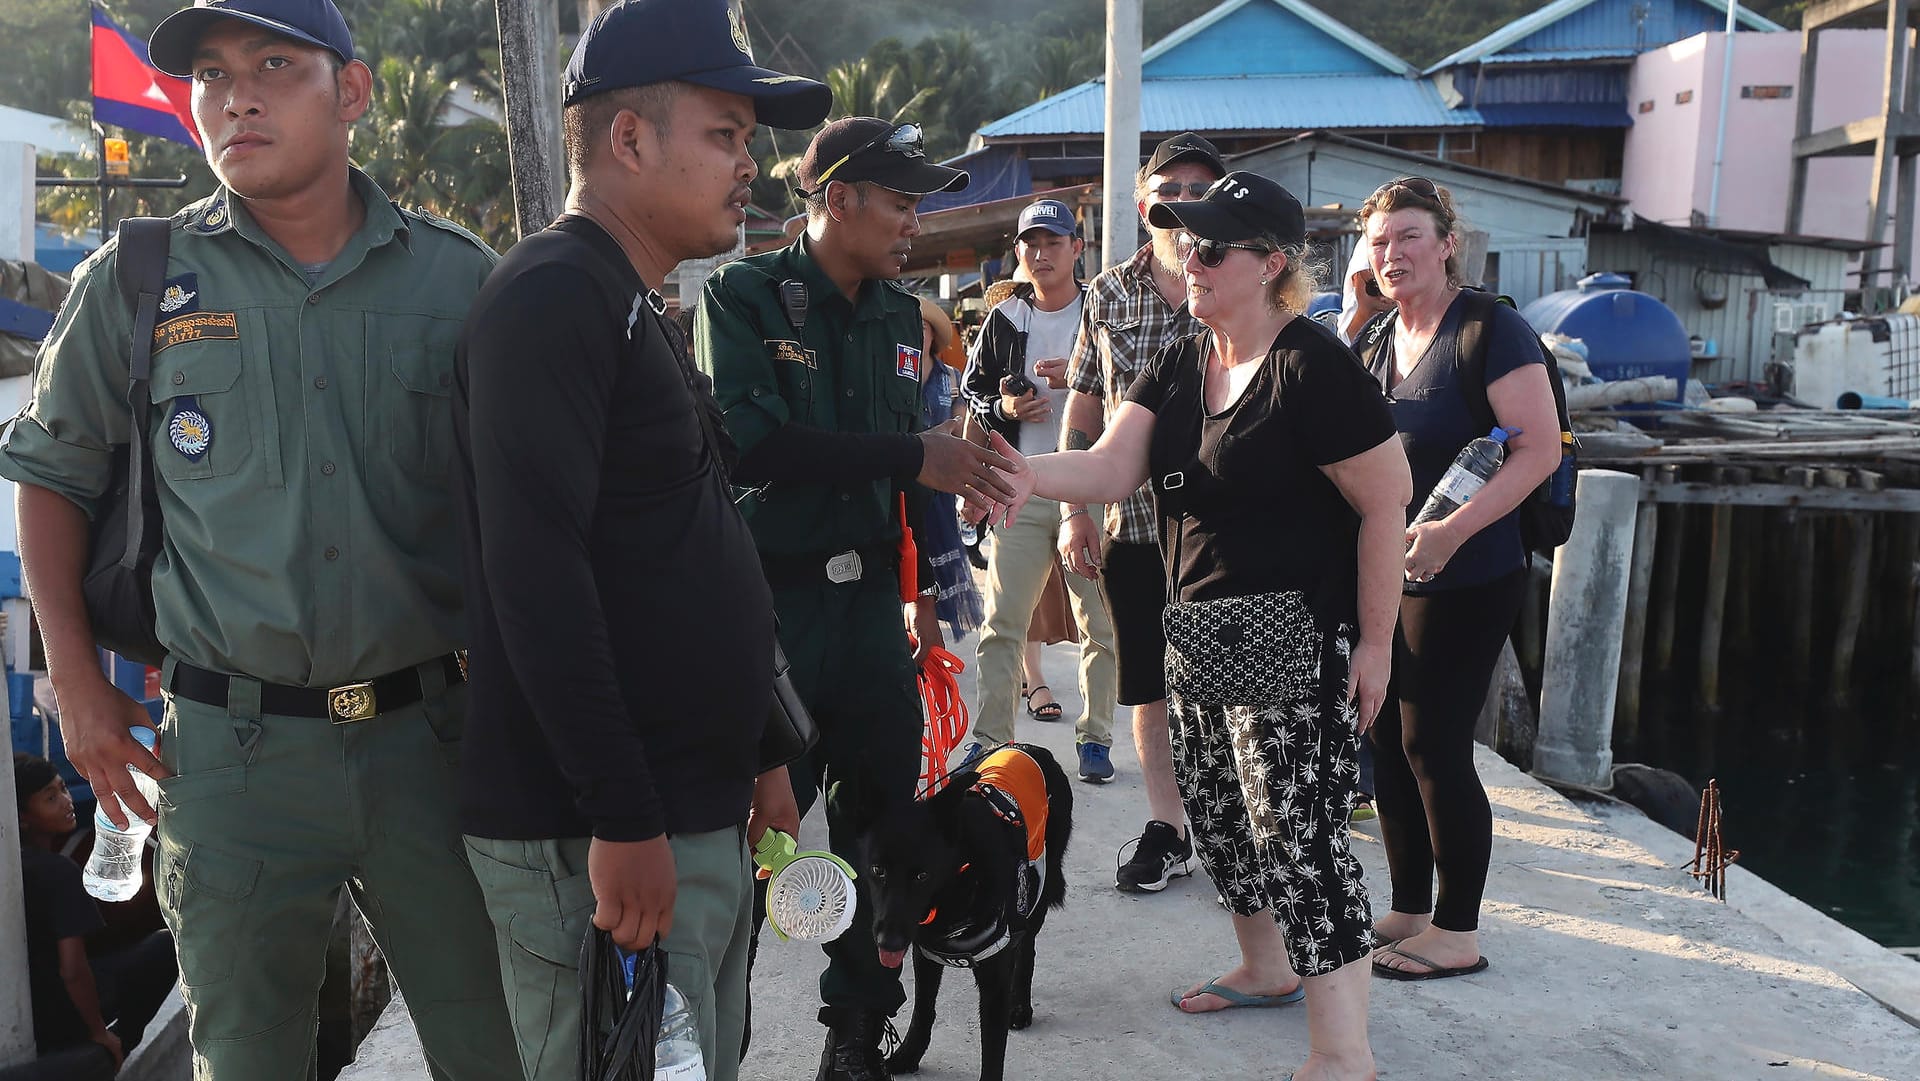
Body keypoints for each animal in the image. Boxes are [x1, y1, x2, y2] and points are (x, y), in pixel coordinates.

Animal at [864, 744, 1075, 1081]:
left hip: (1037, 892)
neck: (961, 879)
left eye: (922, 875)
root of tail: (1031, 748)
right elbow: (924, 1011)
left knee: (1026, 948)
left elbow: (992, 1047)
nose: (888, 942)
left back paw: (1020, 1005)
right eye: (877, 870)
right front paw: (909, 1055)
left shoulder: (993, 979)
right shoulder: (925, 954)